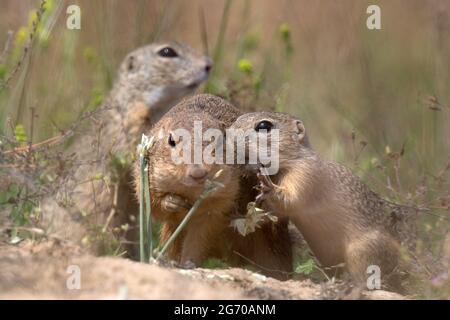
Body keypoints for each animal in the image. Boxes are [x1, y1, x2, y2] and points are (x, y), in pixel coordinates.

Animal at [135, 95, 294, 280]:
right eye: (171, 141)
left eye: (219, 141)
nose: (198, 173)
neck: (192, 192)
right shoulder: (147, 180)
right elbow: (152, 204)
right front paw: (173, 202)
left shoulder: (217, 207)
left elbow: (198, 239)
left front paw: (188, 263)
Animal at [229, 111, 418, 288]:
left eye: (264, 126)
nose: (229, 135)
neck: (293, 160)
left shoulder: (305, 175)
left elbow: (292, 198)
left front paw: (268, 187)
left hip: (361, 252)